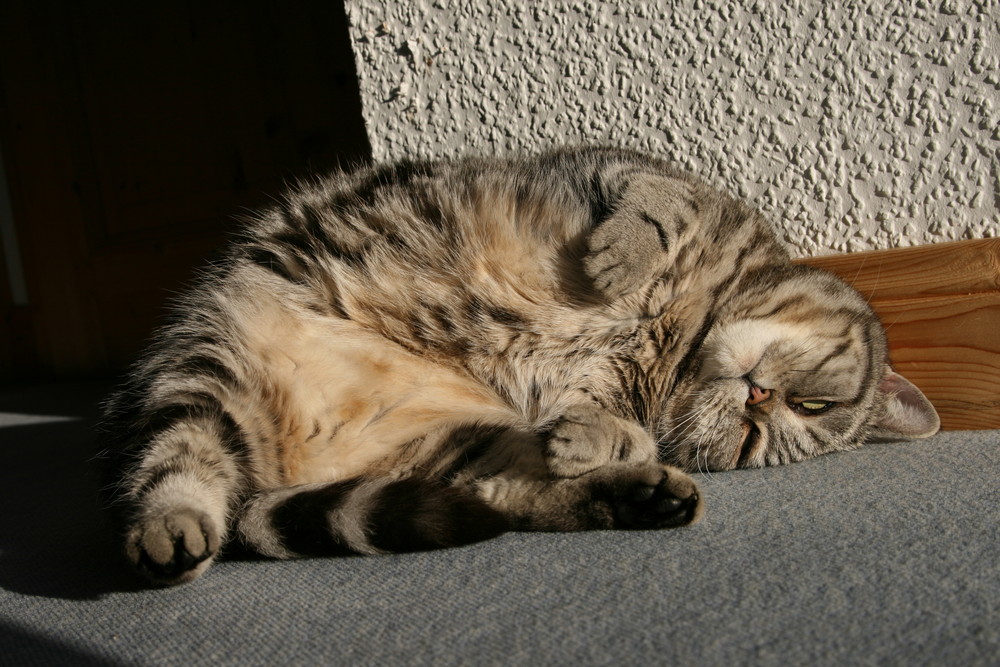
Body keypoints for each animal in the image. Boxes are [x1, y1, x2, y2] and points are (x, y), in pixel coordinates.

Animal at [97, 145, 940, 584]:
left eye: (756, 439)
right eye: (812, 405)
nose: (759, 398)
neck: (680, 338)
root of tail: (283, 469)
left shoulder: (611, 397)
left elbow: (623, 424)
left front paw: (600, 435)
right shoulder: (630, 171)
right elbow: (663, 208)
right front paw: (623, 257)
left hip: (449, 442)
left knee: (507, 498)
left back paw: (638, 495)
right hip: (200, 368)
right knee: (175, 471)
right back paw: (172, 530)